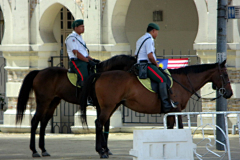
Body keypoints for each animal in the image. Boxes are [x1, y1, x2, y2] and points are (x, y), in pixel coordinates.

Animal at [80, 59, 232, 158]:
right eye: (225, 75)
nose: (229, 93)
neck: (182, 81)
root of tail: (100, 74)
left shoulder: (170, 112)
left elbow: (170, 129)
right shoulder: (177, 110)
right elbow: (180, 128)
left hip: (111, 106)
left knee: (103, 124)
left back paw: (104, 150)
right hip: (108, 107)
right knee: (99, 123)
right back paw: (101, 151)